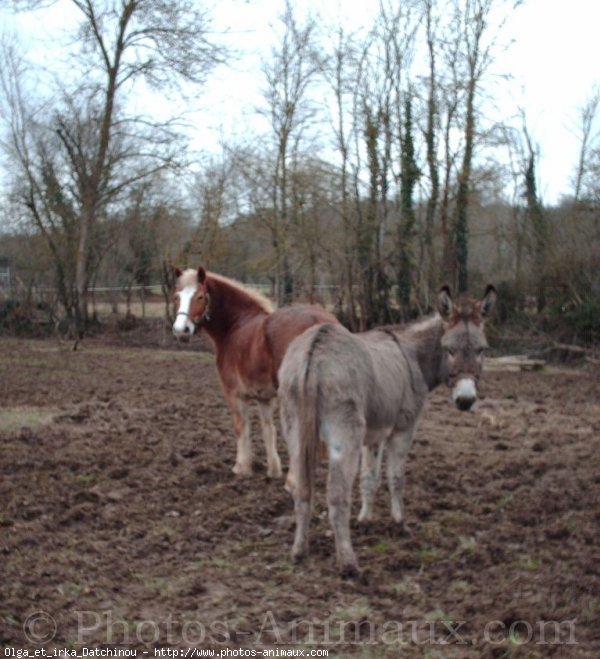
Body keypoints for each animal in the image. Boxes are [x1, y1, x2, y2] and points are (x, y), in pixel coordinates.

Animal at [171, 268, 340, 480]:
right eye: (177, 296)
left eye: (200, 296)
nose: (181, 330)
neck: (235, 325)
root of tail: (319, 323)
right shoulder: (264, 398)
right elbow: (268, 431)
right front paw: (273, 470)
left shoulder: (234, 394)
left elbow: (241, 427)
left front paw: (242, 467)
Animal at [278, 284, 496, 576]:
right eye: (449, 350)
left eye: (482, 350)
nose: (465, 400)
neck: (413, 356)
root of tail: (315, 348)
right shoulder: (403, 429)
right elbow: (396, 478)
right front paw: (400, 524)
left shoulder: (374, 435)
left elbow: (369, 479)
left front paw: (365, 520)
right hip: (344, 435)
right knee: (337, 497)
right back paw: (348, 563)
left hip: (295, 430)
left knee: (302, 490)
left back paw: (299, 552)